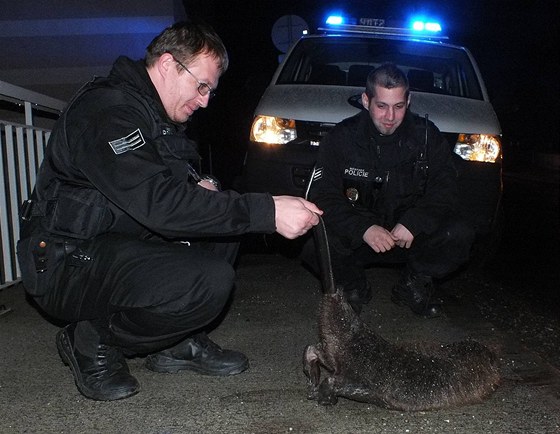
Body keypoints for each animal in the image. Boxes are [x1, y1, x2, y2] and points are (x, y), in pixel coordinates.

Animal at [304, 217, 500, 410]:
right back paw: (323, 393)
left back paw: (312, 378)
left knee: (314, 350)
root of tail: (335, 296)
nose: (494, 358)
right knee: (336, 378)